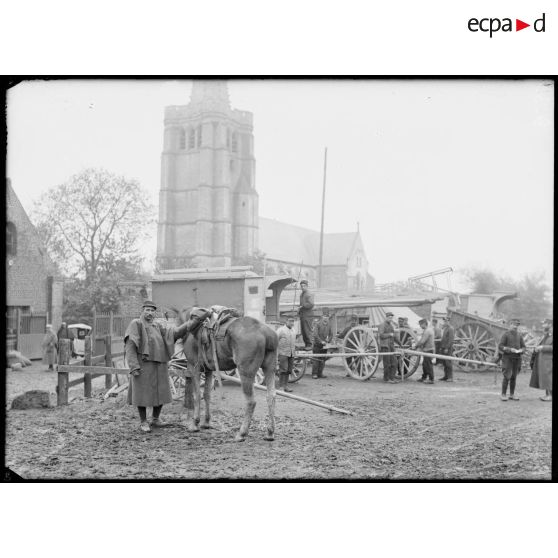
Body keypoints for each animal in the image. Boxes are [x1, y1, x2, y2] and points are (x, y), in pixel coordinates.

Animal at [176, 308, 278, 444]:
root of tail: (267, 334)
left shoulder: (194, 367)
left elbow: (197, 395)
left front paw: (194, 424)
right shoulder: (209, 369)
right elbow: (206, 394)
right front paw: (206, 422)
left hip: (246, 372)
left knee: (251, 401)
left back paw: (242, 433)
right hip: (269, 368)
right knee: (271, 396)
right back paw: (270, 432)